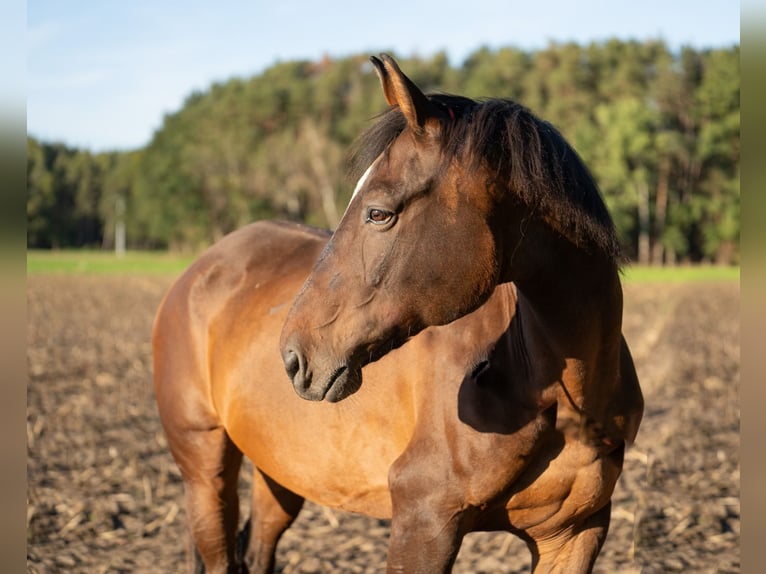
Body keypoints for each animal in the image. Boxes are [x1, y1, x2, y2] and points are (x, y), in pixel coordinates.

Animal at [153, 55, 644, 574]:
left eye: (378, 213)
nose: (293, 356)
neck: (558, 395)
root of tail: (200, 269)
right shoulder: (423, 522)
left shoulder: (574, 535)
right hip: (204, 468)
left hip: (279, 470)